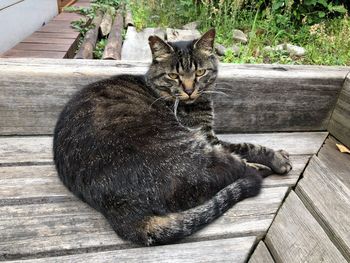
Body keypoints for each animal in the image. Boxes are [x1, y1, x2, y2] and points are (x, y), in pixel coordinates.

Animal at [53, 29, 292, 248]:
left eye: (200, 72)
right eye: (173, 76)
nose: (189, 90)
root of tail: (118, 208)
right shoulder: (207, 136)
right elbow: (248, 146)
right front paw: (278, 158)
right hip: (197, 150)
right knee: (236, 168)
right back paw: (259, 169)